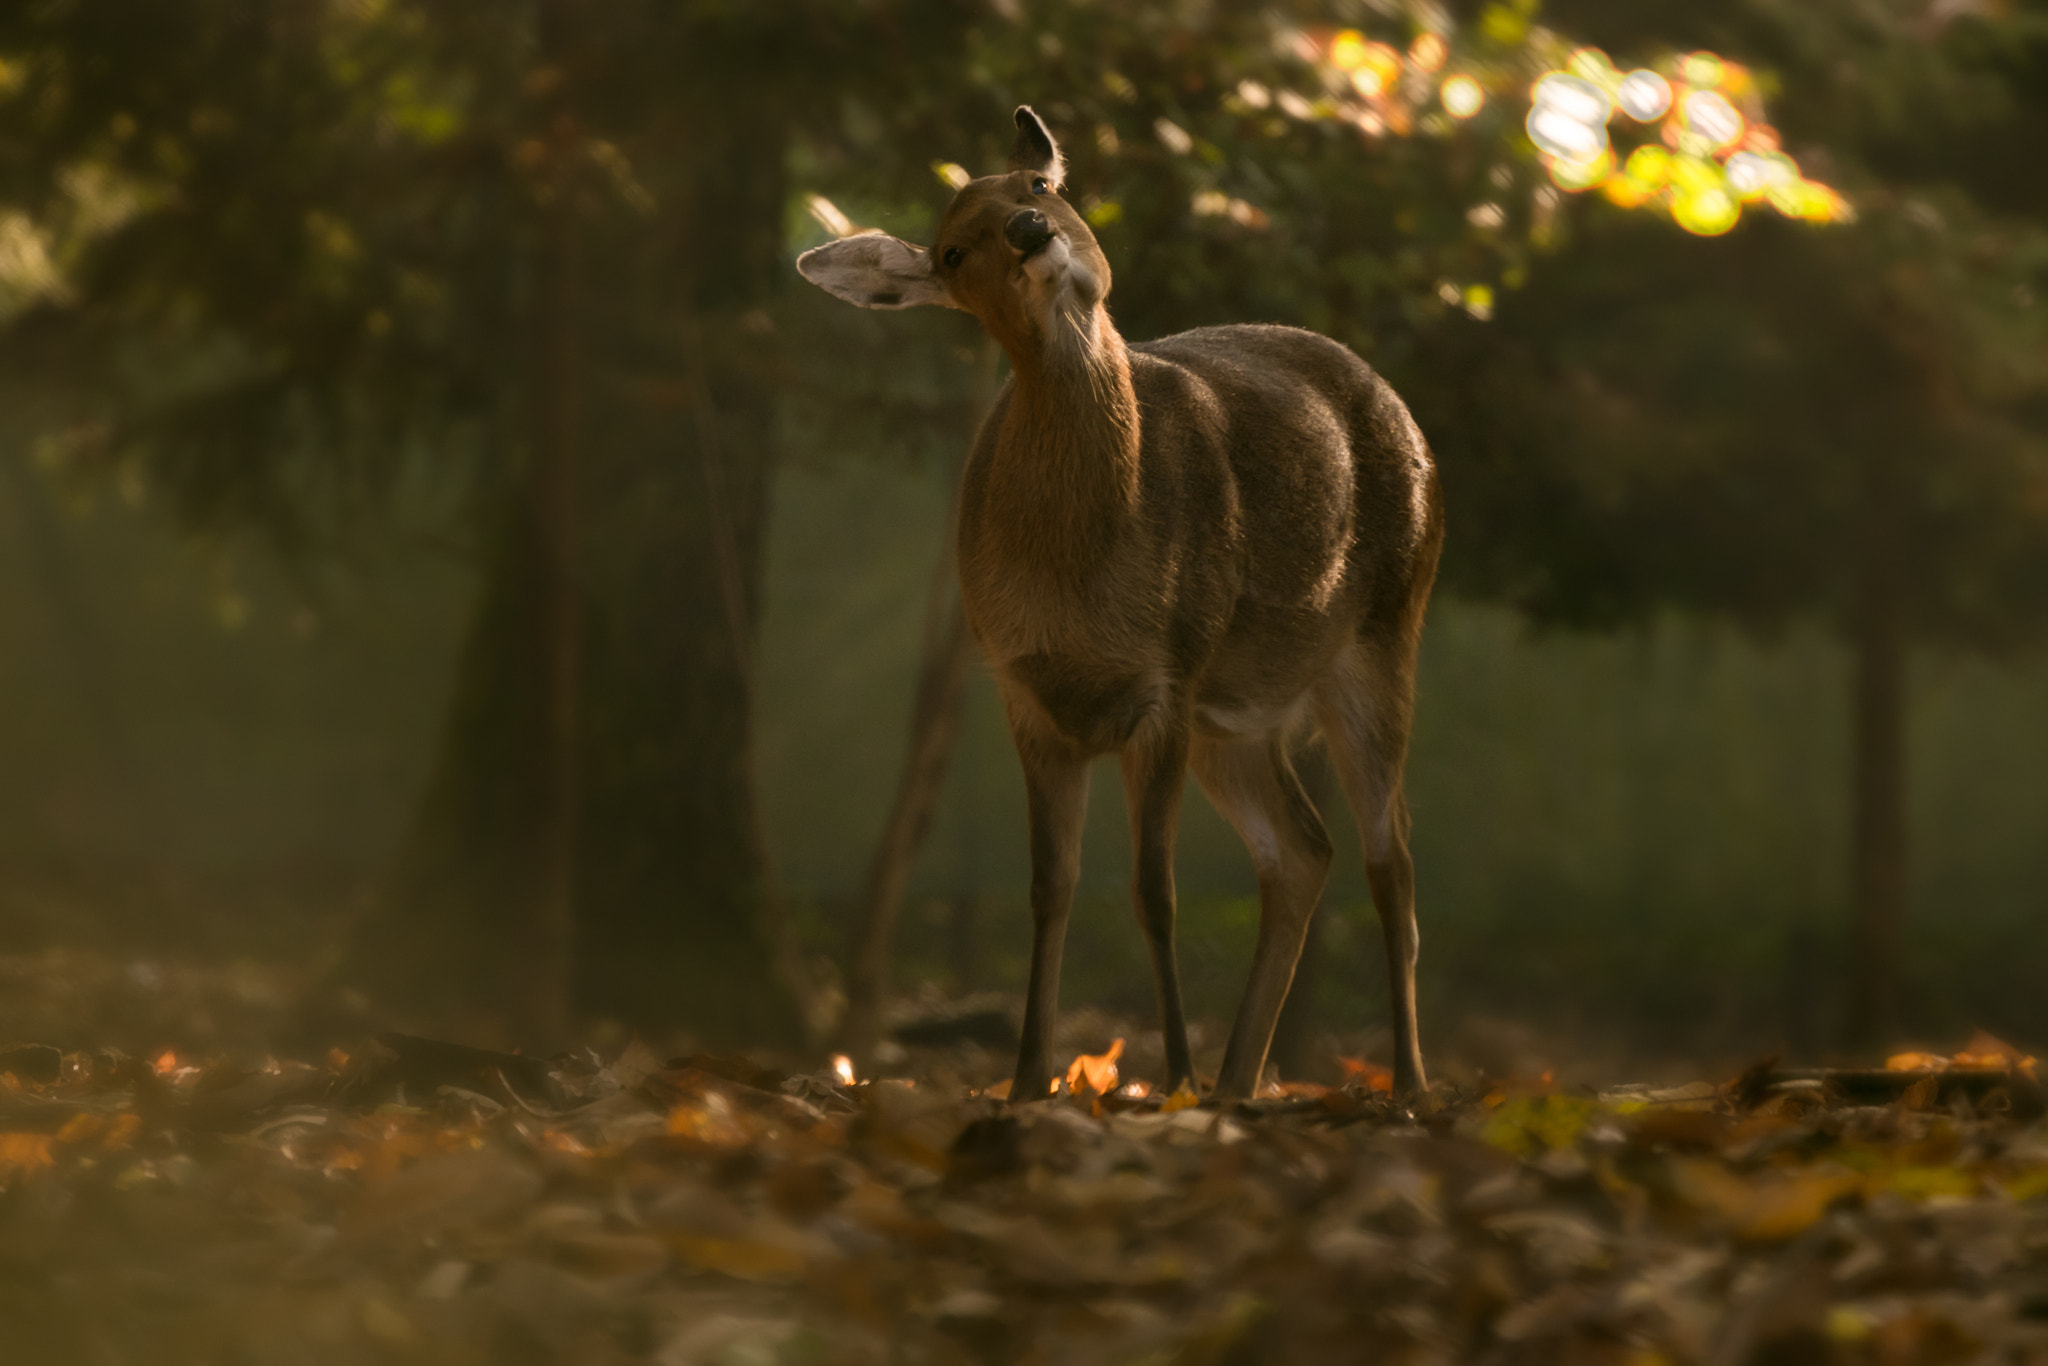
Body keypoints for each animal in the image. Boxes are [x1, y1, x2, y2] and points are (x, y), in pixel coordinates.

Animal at [797, 107, 1442, 1102]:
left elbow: (1154, 892)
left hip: (1382, 628)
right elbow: (1049, 888)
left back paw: (1402, 1084)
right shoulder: (1025, 693)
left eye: (1035, 186)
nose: (1032, 232)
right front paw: (1030, 1078)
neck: (1079, 580)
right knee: (1304, 849)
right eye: (952, 253)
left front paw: (1169, 1074)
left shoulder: (1166, 672)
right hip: (1234, 716)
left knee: (1392, 857)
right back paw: (1239, 1082)